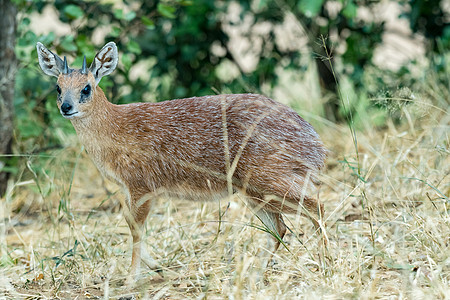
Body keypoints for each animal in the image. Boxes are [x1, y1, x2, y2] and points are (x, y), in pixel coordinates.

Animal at [37, 41, 326, 280]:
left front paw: (131, 278)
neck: (115, 129)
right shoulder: (128, 188)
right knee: (280, 228)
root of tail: (314, 141)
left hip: (270, 180)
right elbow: (129, 222)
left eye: (86, 88)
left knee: (315, 208)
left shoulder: (142, 185)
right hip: (254, 192)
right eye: (58, 87)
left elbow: (136, 227)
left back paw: (326, 261)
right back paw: (255, 275)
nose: (66, 107)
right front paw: (157, 267)